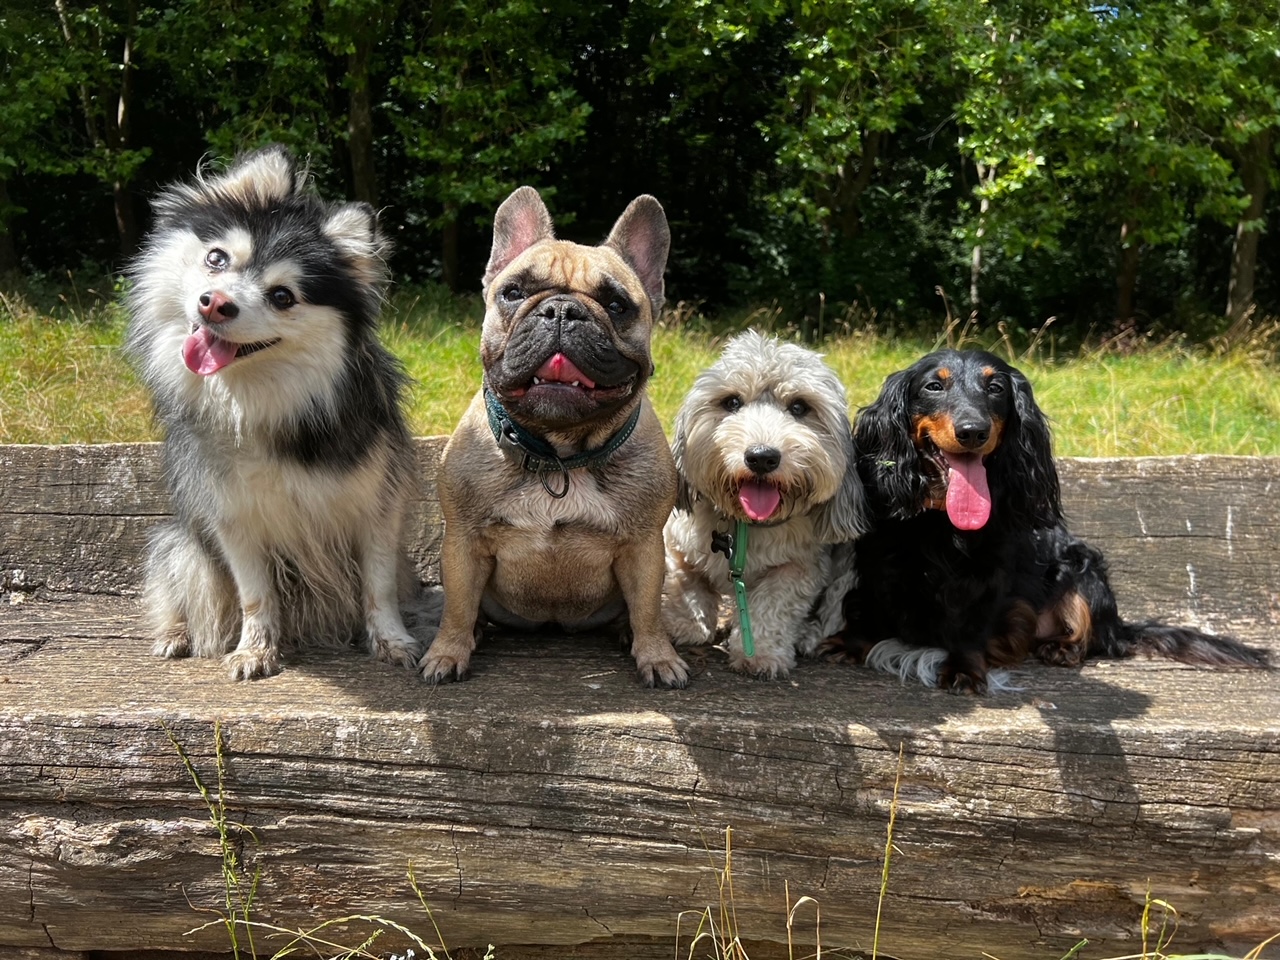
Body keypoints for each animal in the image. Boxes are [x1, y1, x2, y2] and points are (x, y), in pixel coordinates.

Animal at [124, 146, 417, 680]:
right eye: (216, 258)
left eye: (283, 296)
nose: (214, 304)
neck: (262, 397)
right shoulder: (232, 516)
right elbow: (254, 593)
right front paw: (255, 651)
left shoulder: (379, 503)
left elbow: (379, 585)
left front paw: (392, 642)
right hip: (181, 546)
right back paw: (174, 635)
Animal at [665, 330, 865, 675]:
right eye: (732, 402)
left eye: (799, 407)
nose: (761, 457)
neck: (744, 524)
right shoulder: (679, 543)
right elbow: (689, 583)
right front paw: (686, 625)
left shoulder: (799, 567)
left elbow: (773, 606)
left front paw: (760, 653)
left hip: (848, 563)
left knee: (833, 607)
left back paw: (810, 636)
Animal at [834, 350, 1264, 696]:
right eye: (934, 386)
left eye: (996, 388)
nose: (973, 431)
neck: (941, 518)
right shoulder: (879, 563)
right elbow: (870, 605)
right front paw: (849, 643)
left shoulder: (992, 575)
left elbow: (973, 624)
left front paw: (964, 669)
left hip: (1083, 567)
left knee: (1102, 639)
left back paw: (1063, 647)